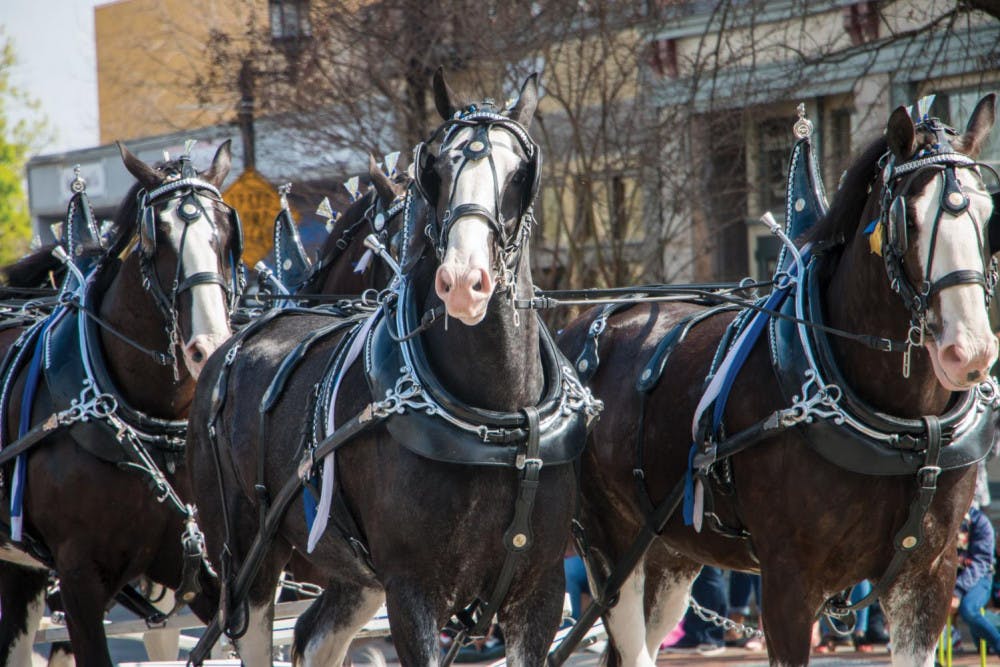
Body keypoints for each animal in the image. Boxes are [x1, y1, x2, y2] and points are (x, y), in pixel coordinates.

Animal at [184, 70, 596, 664]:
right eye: (437, 170)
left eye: (522, 172)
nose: (464, 282)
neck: (492, 421)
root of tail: (232, 344)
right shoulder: (413, 590)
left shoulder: (540, 588)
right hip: (247, 561)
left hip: (353, 575)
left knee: (316, 638)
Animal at [560, 94, 996, 667]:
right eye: (909, 217)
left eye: (989, 213)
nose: (970, 351)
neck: (901, 427)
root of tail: (575, 330)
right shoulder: (788, 583)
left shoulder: (927, 577)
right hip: (608, 545)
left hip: (669, 552)